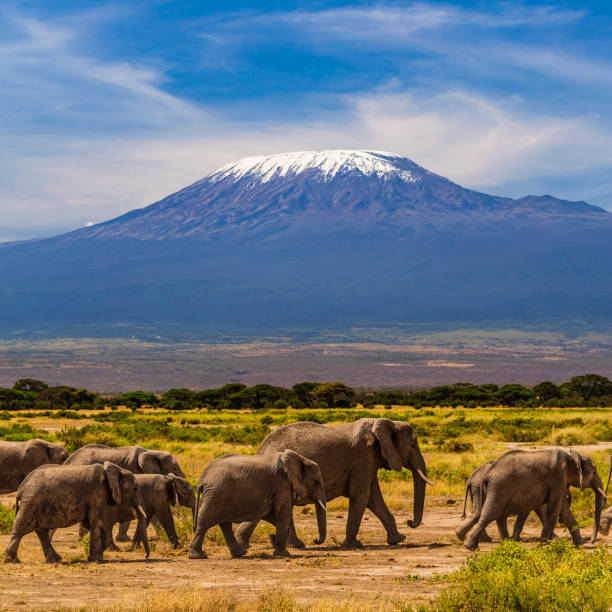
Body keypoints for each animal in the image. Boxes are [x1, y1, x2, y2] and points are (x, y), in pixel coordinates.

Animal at [2, 460, 149, 564]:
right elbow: (96, 523)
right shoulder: (97, 494)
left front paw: (96, 557)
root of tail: (21, 488)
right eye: (135, 488)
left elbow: (94, 523)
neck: (115, 470)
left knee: (41, 531)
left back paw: (56, 559)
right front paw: (96, 560)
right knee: (20, 529)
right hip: (30, 503)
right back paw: (12, 561)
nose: (146, 556)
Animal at [189, 450, 328, 560]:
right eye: (316, 482)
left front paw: (274, 541)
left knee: (225, 524)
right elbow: (282, 513)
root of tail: (202, 478)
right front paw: (283, 553)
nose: (315, 540)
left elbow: (273, 515)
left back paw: (240, 554)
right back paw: (198, 556)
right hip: (216, 495)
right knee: (205, 522)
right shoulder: (282, 484)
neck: (300, 459)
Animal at [234, 418, 430, 548]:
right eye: (413, 445)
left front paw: (398, 539)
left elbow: (374, 498)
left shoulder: (370, 461)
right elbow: (362, 495)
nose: (410, 521)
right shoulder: (363, 458)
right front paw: (352, 545)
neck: (384, 424)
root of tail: (261, 449)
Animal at [464, 448, 604, 552]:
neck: (572, 456)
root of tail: (487, 473)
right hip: (499, 487)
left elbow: (563, 511)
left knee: (498, 516)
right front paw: (543, 545)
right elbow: (554, 509)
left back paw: (505, 544)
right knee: (491, 513)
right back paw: (470, 547)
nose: (591, 541)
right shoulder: (558, 477)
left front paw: (579, 545)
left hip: (497, 488)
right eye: (594, 472)